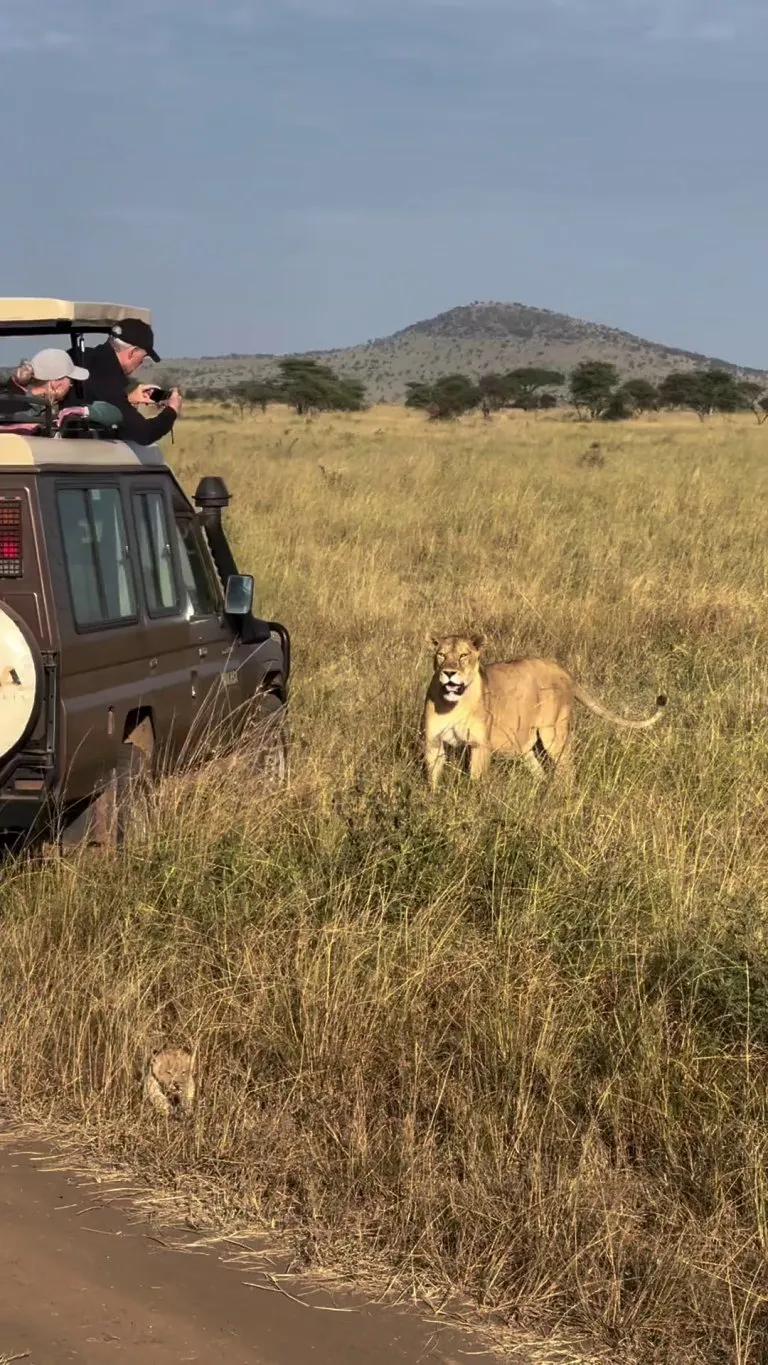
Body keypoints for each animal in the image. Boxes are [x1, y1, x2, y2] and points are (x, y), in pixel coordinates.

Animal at [424, 633, 666, 789]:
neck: (453, 704)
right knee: (539, 770)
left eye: (463, 655)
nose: (449, 673)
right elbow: (433, 778)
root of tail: (564, 671)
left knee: (566, 770)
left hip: (554, 734)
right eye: (441, 655)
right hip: (522, 742)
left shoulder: (479, 745)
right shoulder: (433, 742)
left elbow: (475, 780)